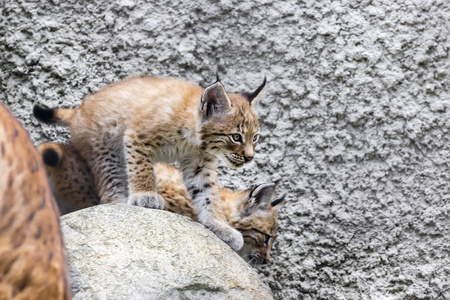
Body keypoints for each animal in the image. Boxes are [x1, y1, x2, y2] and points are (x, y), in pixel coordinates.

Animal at [35, 75, 268, 251]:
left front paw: (219, 225)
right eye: (236, 137)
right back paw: (120, 203)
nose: (250, 157)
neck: (195, 139)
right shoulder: (136, 136)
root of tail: (79, 108)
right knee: (109, 186)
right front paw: (146, 195)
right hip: (106, 149)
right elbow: (142, 169)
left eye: (255, 137)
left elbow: (209, 195)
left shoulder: (200, 164)